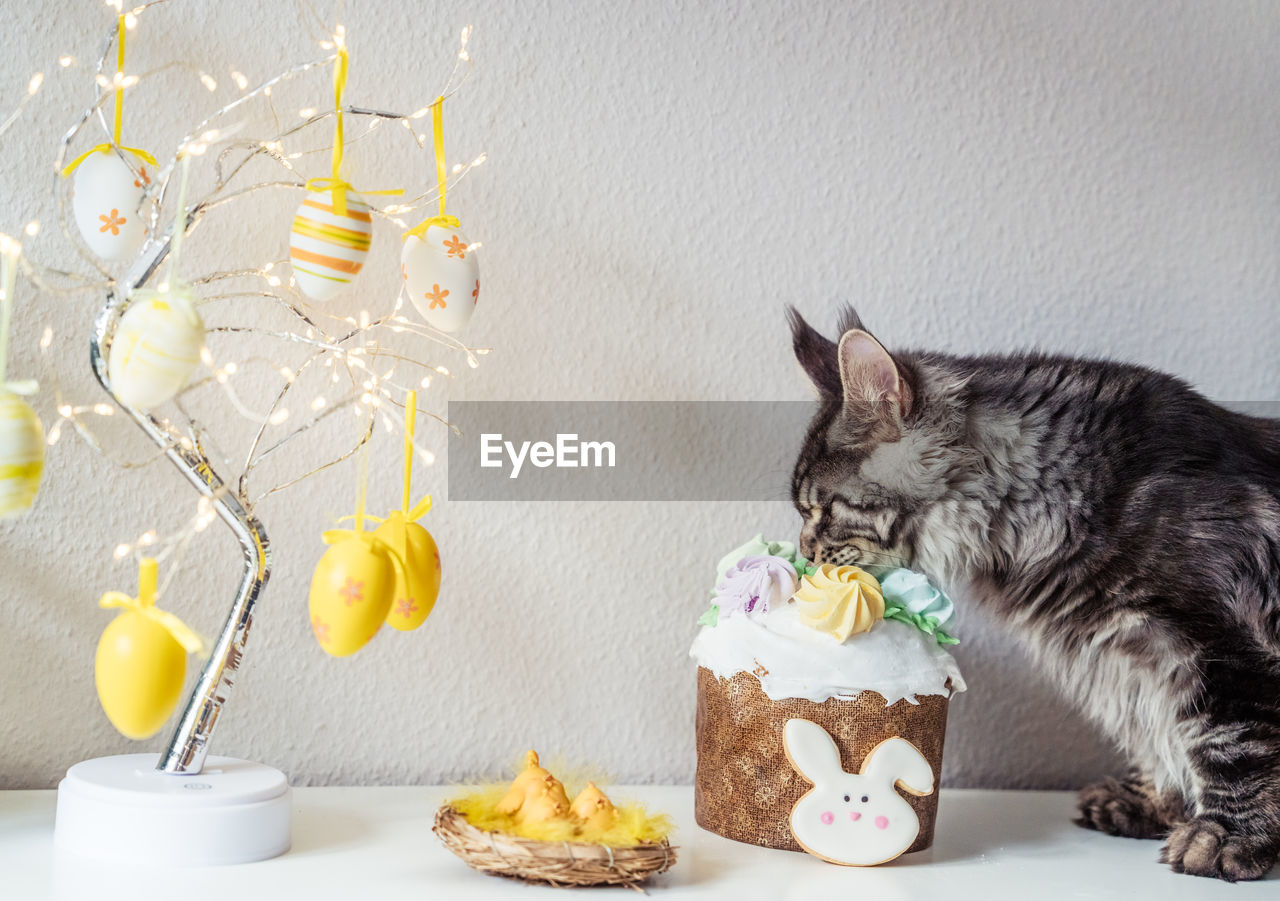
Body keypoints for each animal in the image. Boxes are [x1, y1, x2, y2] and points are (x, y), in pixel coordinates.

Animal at [788, 305, 1280, 885]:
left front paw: (1224, 837)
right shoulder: (1125, 662)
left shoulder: (1216, 645)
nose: (804, 554)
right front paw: (1150, 802)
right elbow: (1155, 735)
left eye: (822, 509)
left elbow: (1230, 744)